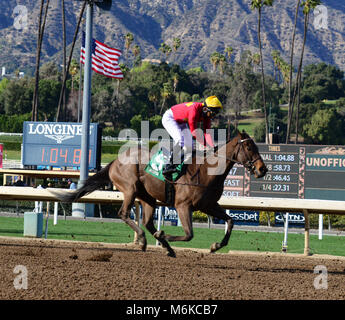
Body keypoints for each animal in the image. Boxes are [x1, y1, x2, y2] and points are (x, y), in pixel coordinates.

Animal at [57, 130, 266, 258]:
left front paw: (215, 246)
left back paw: (164, 246)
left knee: (148, 222)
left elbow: (230, 221)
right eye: (249, 147)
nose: (262, 169)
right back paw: (144, 240)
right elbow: (189, 234)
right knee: (124, 214)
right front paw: (164, 234)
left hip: (148, 198)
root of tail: (115, 161)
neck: (207, 171)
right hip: (130, 189)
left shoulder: (208, 205)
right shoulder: (183, 205)